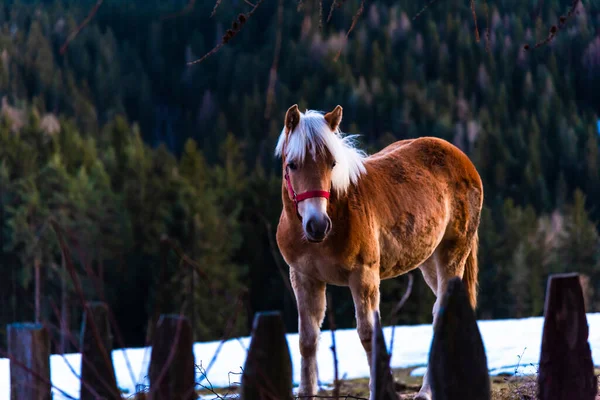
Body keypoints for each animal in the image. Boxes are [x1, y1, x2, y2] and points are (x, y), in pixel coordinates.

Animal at [276, 104, 482, 398]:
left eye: (332, 163)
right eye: (292, 165)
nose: (317, 225)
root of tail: (462, 158)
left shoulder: (364, 277)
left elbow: (367, 336)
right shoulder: (304, 278)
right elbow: (307, 338)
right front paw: (306, 392)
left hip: (452, 254)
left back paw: (426, 391)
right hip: (429, 260)